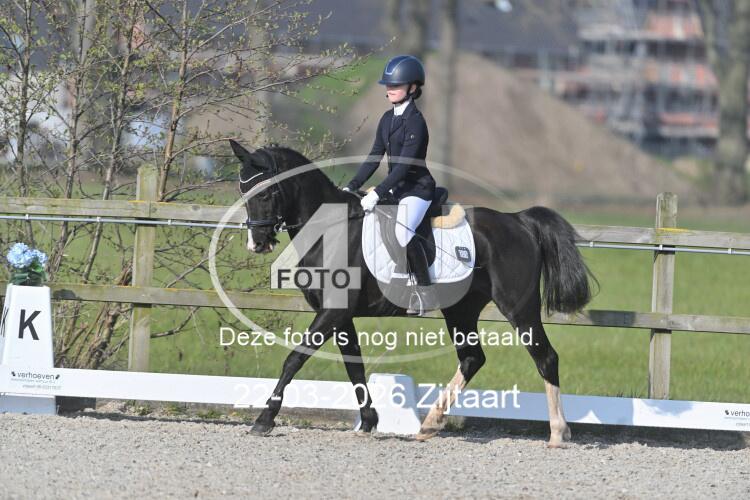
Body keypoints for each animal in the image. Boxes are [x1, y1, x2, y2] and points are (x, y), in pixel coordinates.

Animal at [229, 140, 596, 447]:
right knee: (472, 358)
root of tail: (518, 221)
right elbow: (354, 367)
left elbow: (295, 358)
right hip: (461, 310)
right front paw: (368, 421)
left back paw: (558, 433)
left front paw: (264, 420)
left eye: (265, 194)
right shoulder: (339, 315)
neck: (329, 230)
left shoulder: (333, 313)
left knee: (545, 357)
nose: (257, 243)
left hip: (518, 307)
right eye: (242, 189)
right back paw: (430, 423)